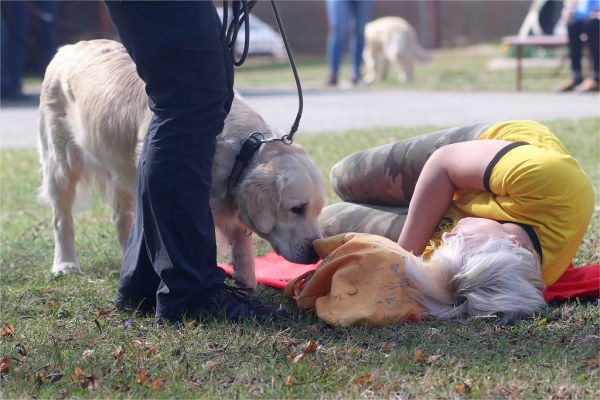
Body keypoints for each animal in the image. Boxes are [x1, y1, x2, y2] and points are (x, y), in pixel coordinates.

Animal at [37, 39, 326, 290]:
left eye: (318, 210)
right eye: (297, 209)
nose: (316, 252)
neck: (241, 148)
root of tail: (69, 47)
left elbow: (239, 233)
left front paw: (246, 275)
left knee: (121, 220)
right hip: (61, 163)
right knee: (61, 219)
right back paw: (65, 264)